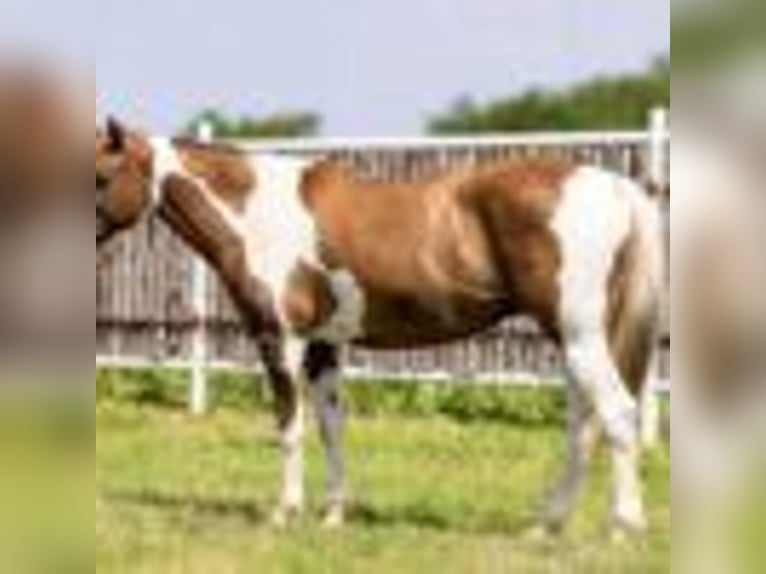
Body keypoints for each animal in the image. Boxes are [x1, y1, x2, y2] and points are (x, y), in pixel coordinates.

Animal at [96, 118, 664, 536]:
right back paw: (546, 527)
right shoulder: (324, 346)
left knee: (617, 414)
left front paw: (285, 512)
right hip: (574, 342)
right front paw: (332, 515)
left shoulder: (280, 340)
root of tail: (614, 187)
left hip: (580, 338)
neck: (256, 213)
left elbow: (289, 426)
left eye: (101, 175)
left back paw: (625, 526)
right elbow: (331, 427)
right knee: (583, 426)